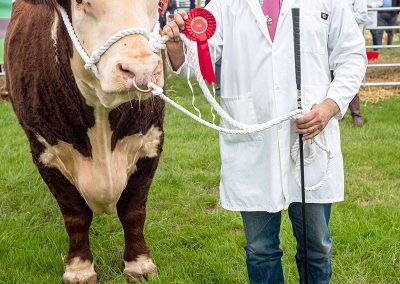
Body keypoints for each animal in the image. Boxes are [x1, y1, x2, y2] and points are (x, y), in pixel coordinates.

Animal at [3, 0, 166, 282]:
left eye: (157, 3)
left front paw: (139, 264)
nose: (142, 70)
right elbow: (76, 216)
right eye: (81, 3)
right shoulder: (45, 153)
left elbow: (134, 210)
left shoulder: (151, 143)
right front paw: (79, 268)